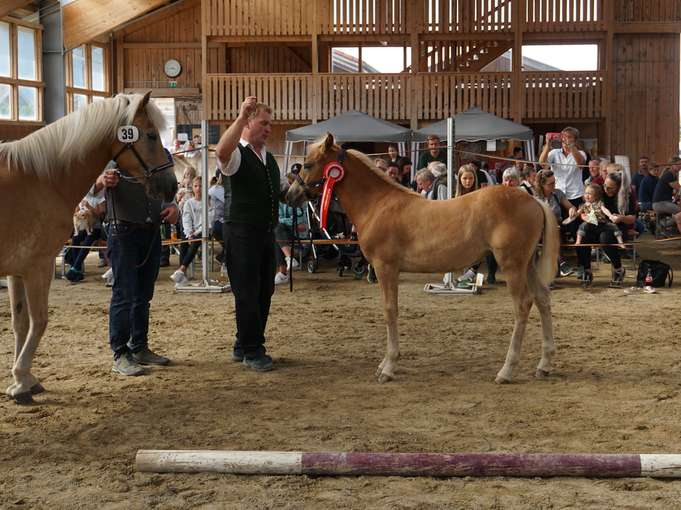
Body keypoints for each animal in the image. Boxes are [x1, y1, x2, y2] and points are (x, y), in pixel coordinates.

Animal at [1, 91, 175, 402]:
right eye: (152, 135)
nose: (172, 186)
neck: (41, 178)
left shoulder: (16, 270)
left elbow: (20, 324)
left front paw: (25, 379)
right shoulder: (39, 265)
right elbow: (39, 321)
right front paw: (21, 382)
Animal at [286, 133, 556, 384]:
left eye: (308, 164)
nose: (289, 195)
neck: (378, 205)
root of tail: (535, 201)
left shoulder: (385, 268)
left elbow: (390, 310)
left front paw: (388, 367)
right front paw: (384, 364)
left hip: (512, 265)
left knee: (523, 305)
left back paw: (506, 371)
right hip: (527, 264)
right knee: (542, 299)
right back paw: (544, 365)